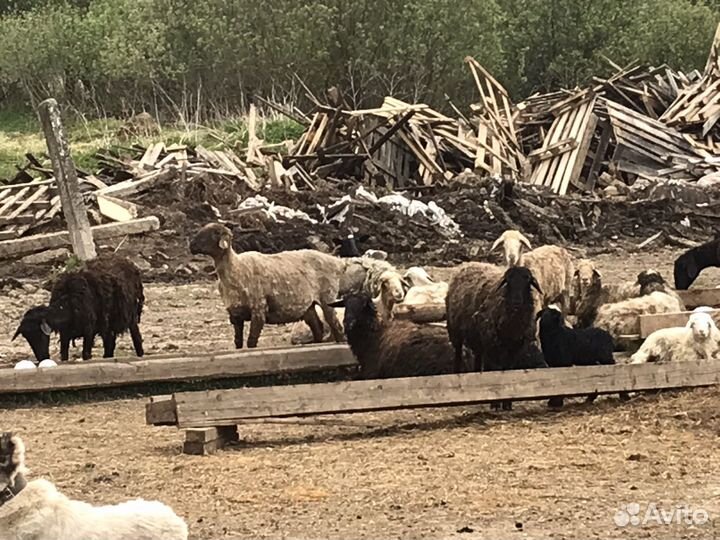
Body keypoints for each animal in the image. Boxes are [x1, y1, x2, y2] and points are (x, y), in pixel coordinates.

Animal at [14, 255, 145, 362]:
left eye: (40, 335)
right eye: (27, 338)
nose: (43, 357)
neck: (66, 304)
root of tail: (126, 261)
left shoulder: (89, 330)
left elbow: (86, 354)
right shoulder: (65, 333)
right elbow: (64, 355)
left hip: (131, 314)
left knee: (136, 337)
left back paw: (140, 354)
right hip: (107, 323)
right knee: (110, 344)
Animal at [190, 223, 350, 348]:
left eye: (215, 233)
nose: (191, 246)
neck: (236, 268)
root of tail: (337, 262)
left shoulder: (258, 309)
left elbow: (251, 341)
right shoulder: (235, 314)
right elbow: (238, 342)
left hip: (327, 297)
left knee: (335, 325)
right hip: (308, 306)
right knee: (317, 327)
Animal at [446, 264, 545, 410]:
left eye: (527, 279)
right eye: (508, 280)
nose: (516, 302)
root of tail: (466, 265)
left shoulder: (515, 346)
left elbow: (508, 369)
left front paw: (507, 404)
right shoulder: (492, 345)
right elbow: (495, 369)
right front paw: (495, 403)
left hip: (478, 339)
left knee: (478, 358)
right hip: (455, 331)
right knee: (458, 355)